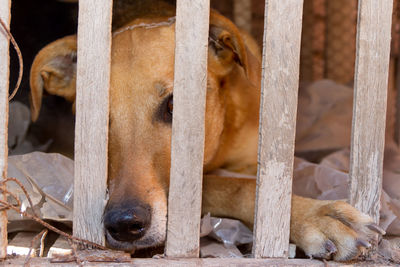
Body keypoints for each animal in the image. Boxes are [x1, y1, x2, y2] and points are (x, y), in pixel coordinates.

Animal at [29, 1, 382, 262]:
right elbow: (232, 187)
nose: (124, 224)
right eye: (97, 119)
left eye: (175, 105)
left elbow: (260, 189)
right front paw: (315, 216)